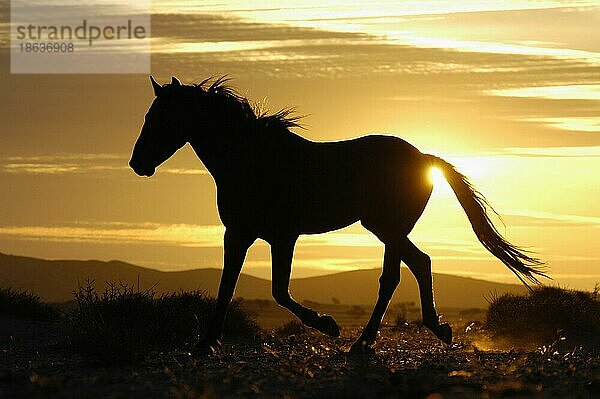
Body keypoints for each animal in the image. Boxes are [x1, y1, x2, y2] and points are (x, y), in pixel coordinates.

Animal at [129, 76, 548, 354]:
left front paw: (328, 326)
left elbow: (278, 291)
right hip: (387, 228)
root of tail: (424, 158)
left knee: (407, 269)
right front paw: (207, 341)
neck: (253, 159)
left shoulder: (282, 236)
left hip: (385, 227)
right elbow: (227, 287)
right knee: (408, 269)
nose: (137, 164)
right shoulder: (238, 234)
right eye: (149, 115)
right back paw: (399, 334)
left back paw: (373, 339)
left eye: (159, 118)